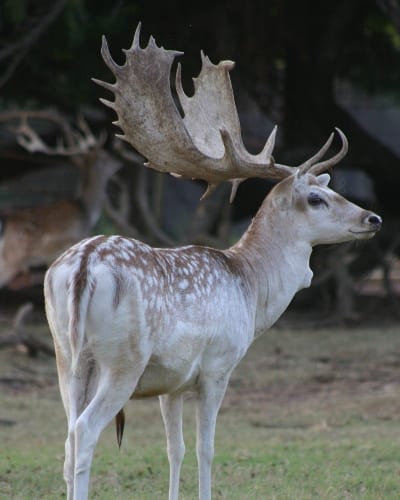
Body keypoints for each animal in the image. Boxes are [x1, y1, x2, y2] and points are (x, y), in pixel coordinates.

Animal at [43, 26, 382, 500]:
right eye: (317, 198)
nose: (373, 218)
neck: (250, 289)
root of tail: (82, 267)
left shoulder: (171, 382)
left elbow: (176, 450)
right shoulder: (218, 366)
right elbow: (206, 448)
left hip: (66, 356)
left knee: (67, 437)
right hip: (122, 360)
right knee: (85, 431)